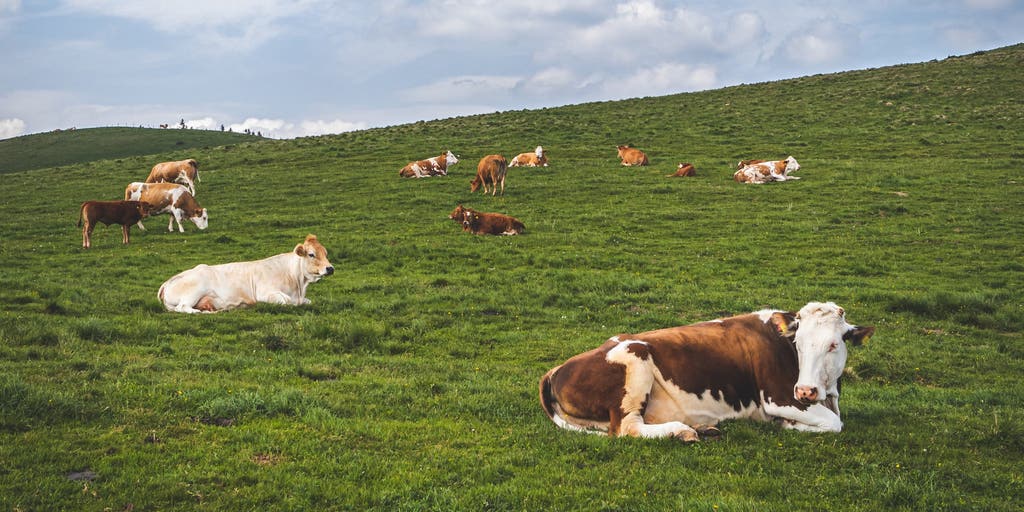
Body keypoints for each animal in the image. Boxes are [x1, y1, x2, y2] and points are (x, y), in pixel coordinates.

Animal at [158, 234, 334, 313]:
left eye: (326, 253)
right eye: (311, 254)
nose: (330, 268)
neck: (298, 285)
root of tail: (168, 282)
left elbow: (308, 301)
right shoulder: (265, 293)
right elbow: (285, 301)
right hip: (194, 291)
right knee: (183, 307)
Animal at [539, 302, 874, 442]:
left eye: (834, 344)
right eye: (798, 342)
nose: (805, 390)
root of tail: (557, 368)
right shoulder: (779, 397)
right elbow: (834, 423)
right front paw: (788, 425)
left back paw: (702, 428)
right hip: (635, 362)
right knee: (627, 428)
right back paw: (682, 431)